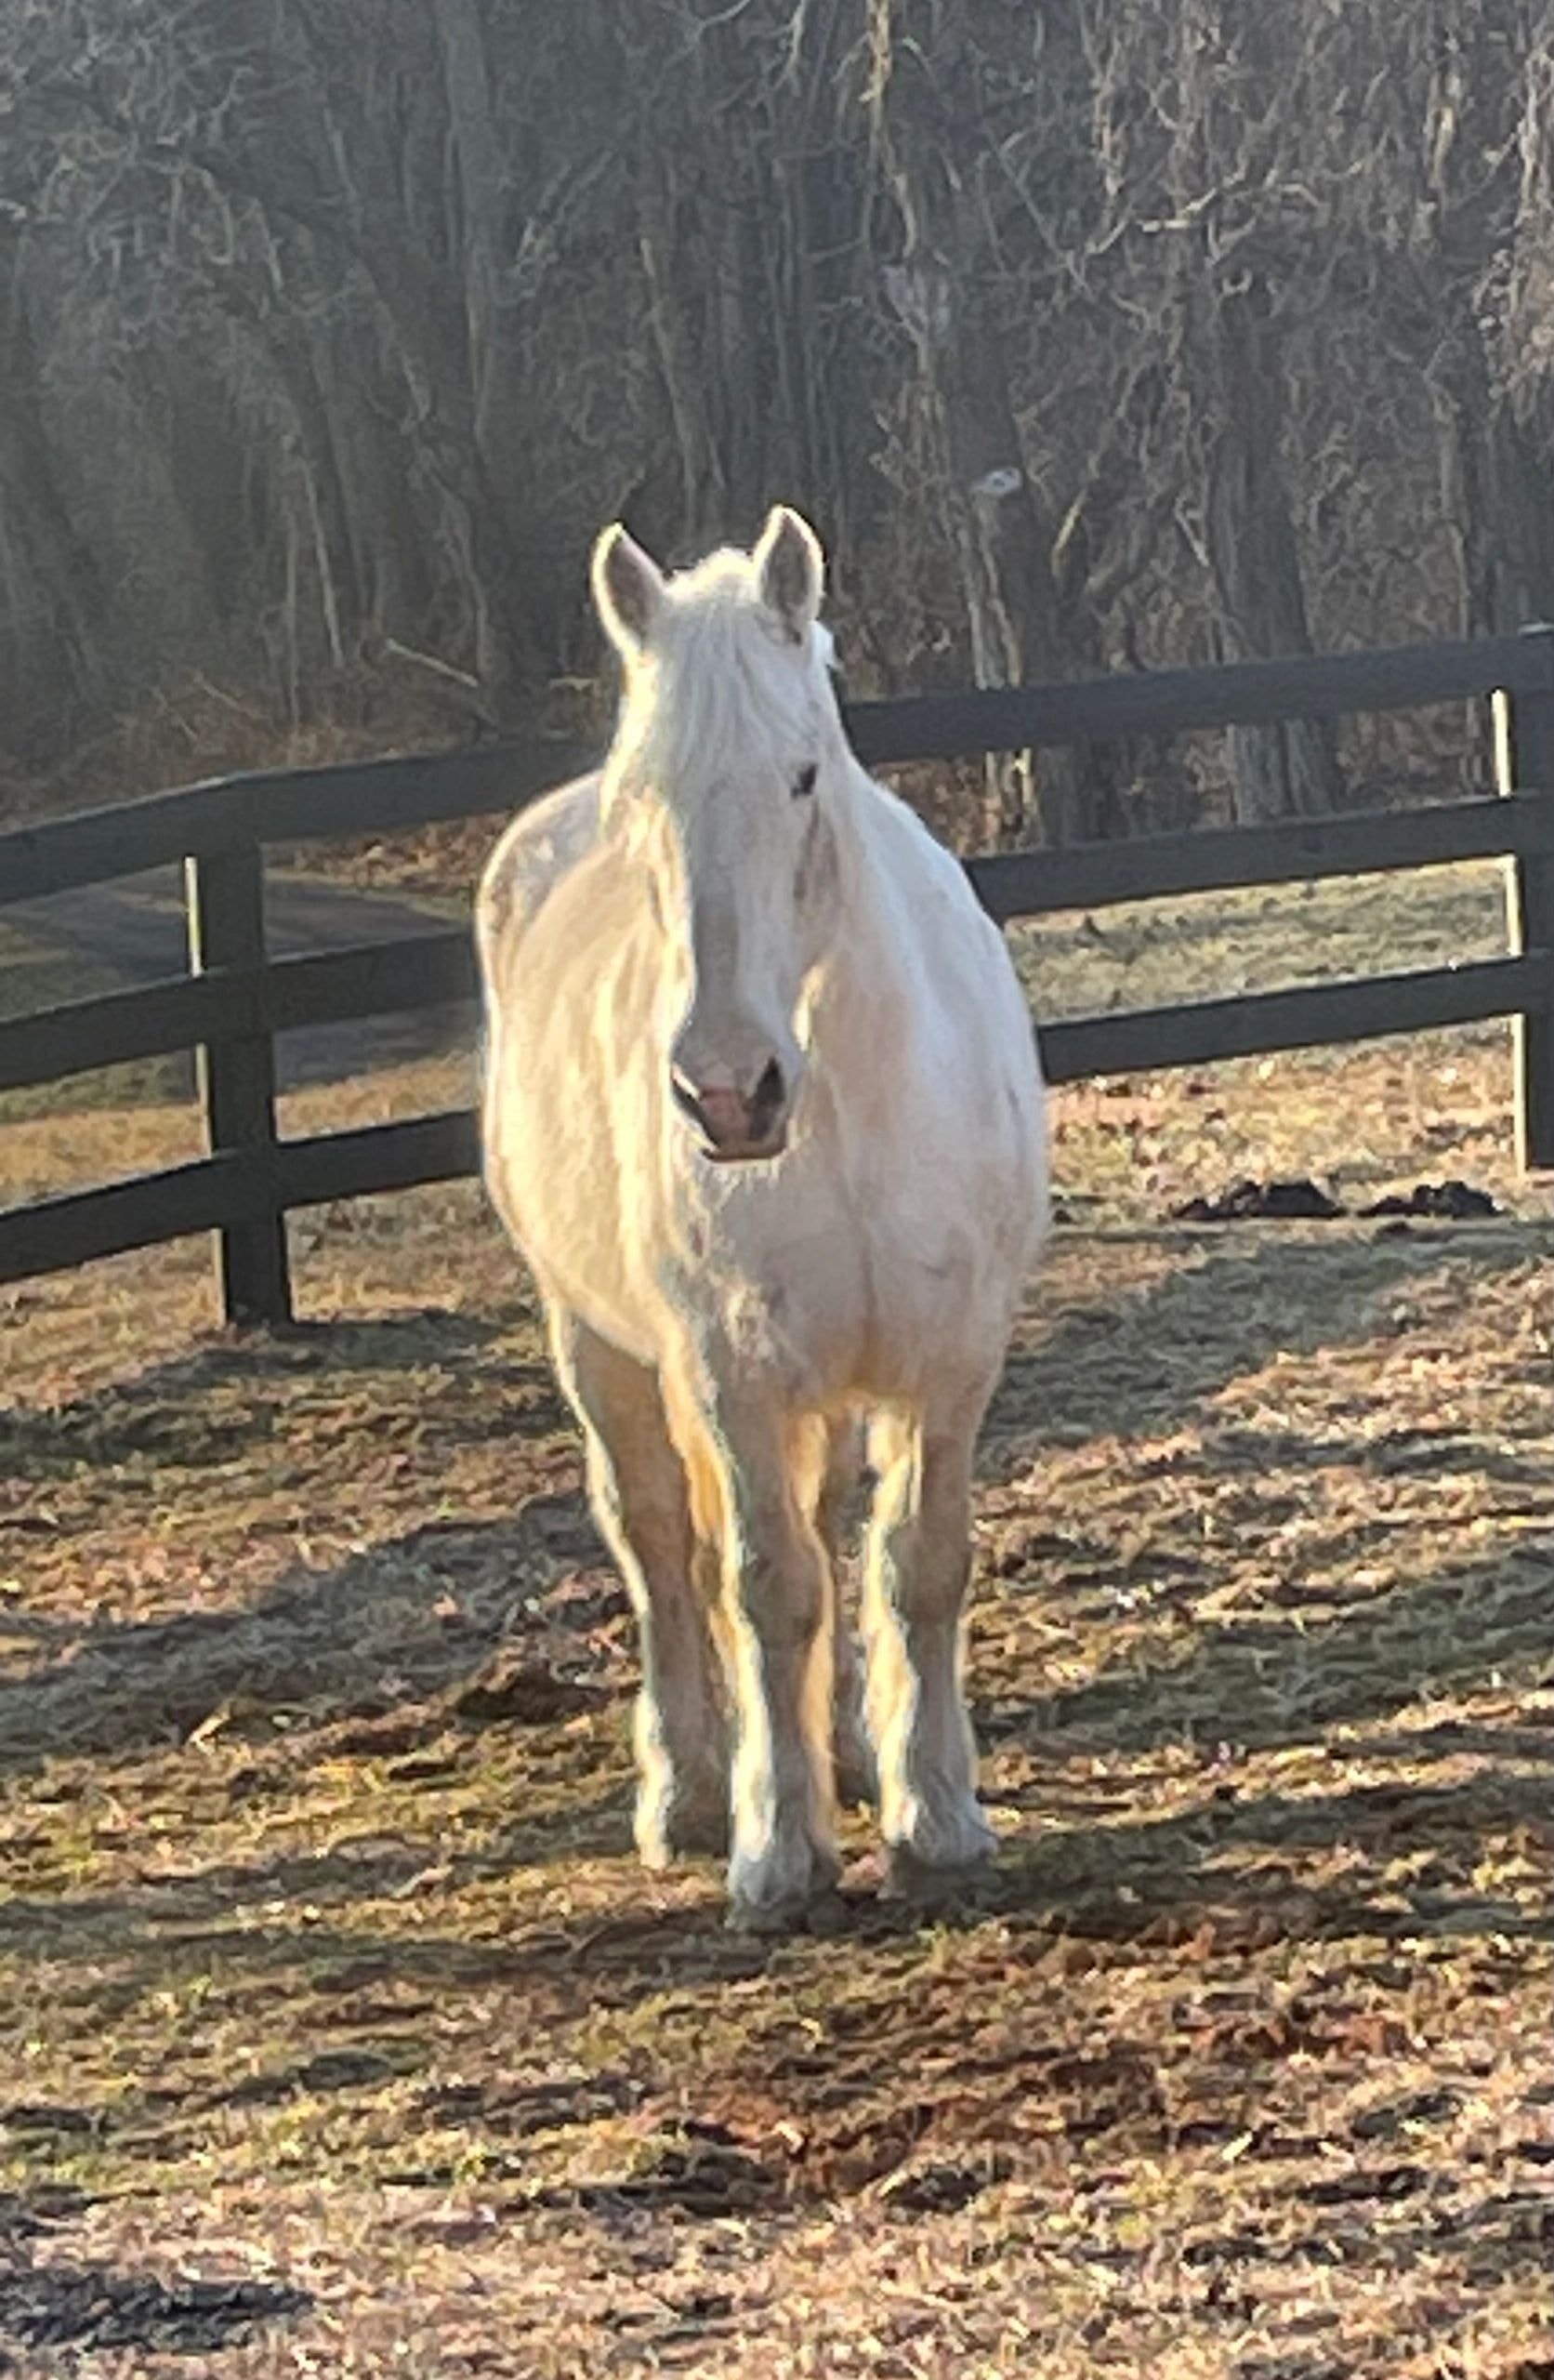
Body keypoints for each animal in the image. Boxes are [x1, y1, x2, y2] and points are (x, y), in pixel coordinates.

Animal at [475, 506, 1048, 1930]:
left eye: (803, 776)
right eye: (643, 801)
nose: (730, 1093)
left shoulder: (949, 1361)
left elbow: (914, 1565)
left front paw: (934, 1819)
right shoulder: (728, 1372)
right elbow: (762, 1586)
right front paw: (777, 1849)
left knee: (825, 1523)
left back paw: (843, 1750)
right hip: (598, 1345)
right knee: (659, 1542)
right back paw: (689, 1791)